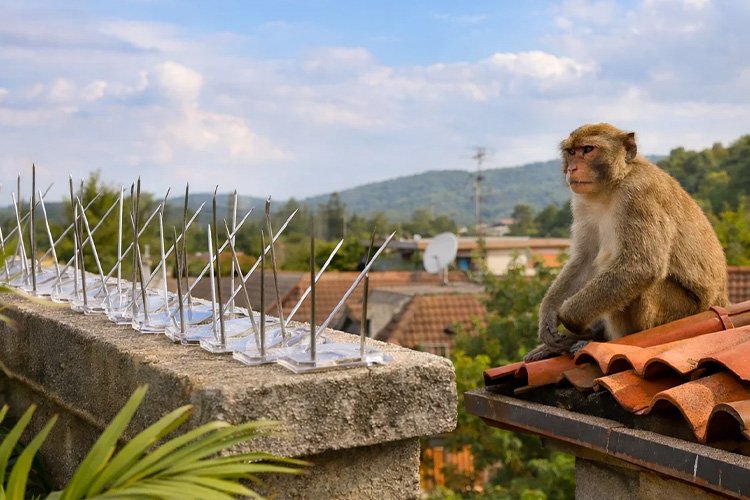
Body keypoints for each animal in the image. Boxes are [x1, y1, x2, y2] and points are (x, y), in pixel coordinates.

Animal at [524, 123, 728, 362]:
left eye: (588, 149)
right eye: (571, 152)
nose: (572, 169)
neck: (613, 185)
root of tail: (719, 303)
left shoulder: (638, 195)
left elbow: (640, 266)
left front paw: (569, 317)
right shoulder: (581, 204)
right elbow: (585, 260)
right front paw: (547, 316)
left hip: (678, 311)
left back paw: (602, 339)